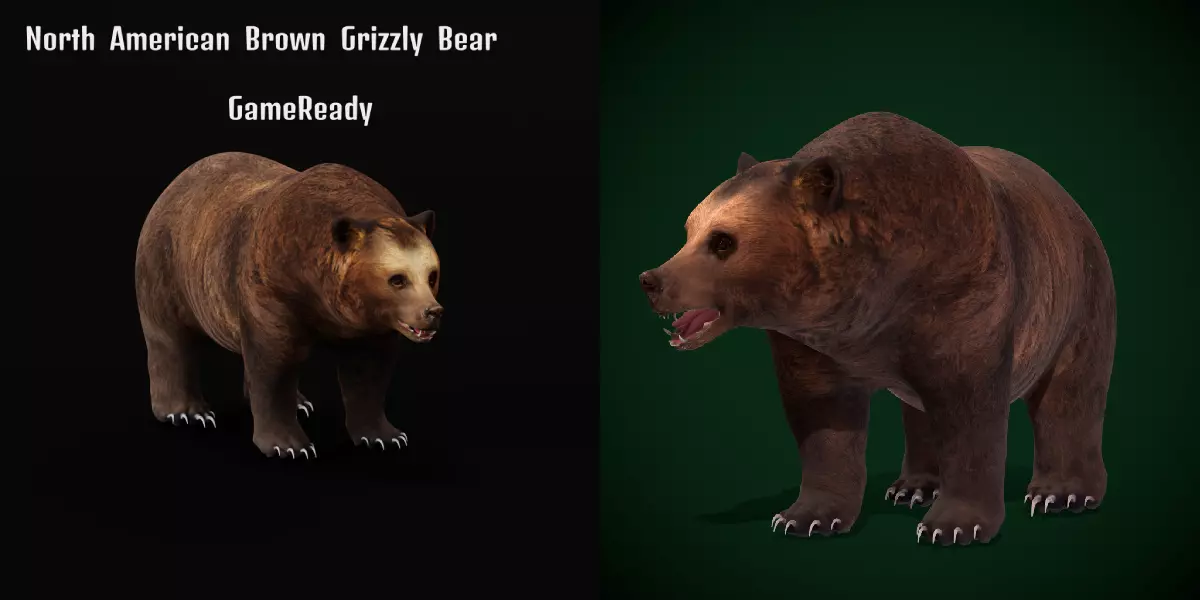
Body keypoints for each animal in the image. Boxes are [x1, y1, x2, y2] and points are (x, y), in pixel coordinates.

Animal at [135, 151, 443, 458]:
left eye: (432, 275)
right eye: (397, 279)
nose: (432, 312)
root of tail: (172, 186)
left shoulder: (370, 322)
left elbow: (368, 369)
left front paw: (385, 436)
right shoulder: (272, 287)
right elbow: (274, 363)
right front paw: (289, 445)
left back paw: (299, 402)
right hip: (165, 266)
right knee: (170, 338)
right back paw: (187, 412)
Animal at [638, 112, 1115, 546]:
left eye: (722, 241)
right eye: (688, 229)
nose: (652, 280)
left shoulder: (961, 296)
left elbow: (969, 410)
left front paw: (953, 525)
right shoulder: (812, 343)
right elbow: (823, 419)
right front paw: (804, 517)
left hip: (1077, 294)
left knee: (1069, 395)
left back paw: (1060, 494)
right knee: (920, 409)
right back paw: (912, 486)